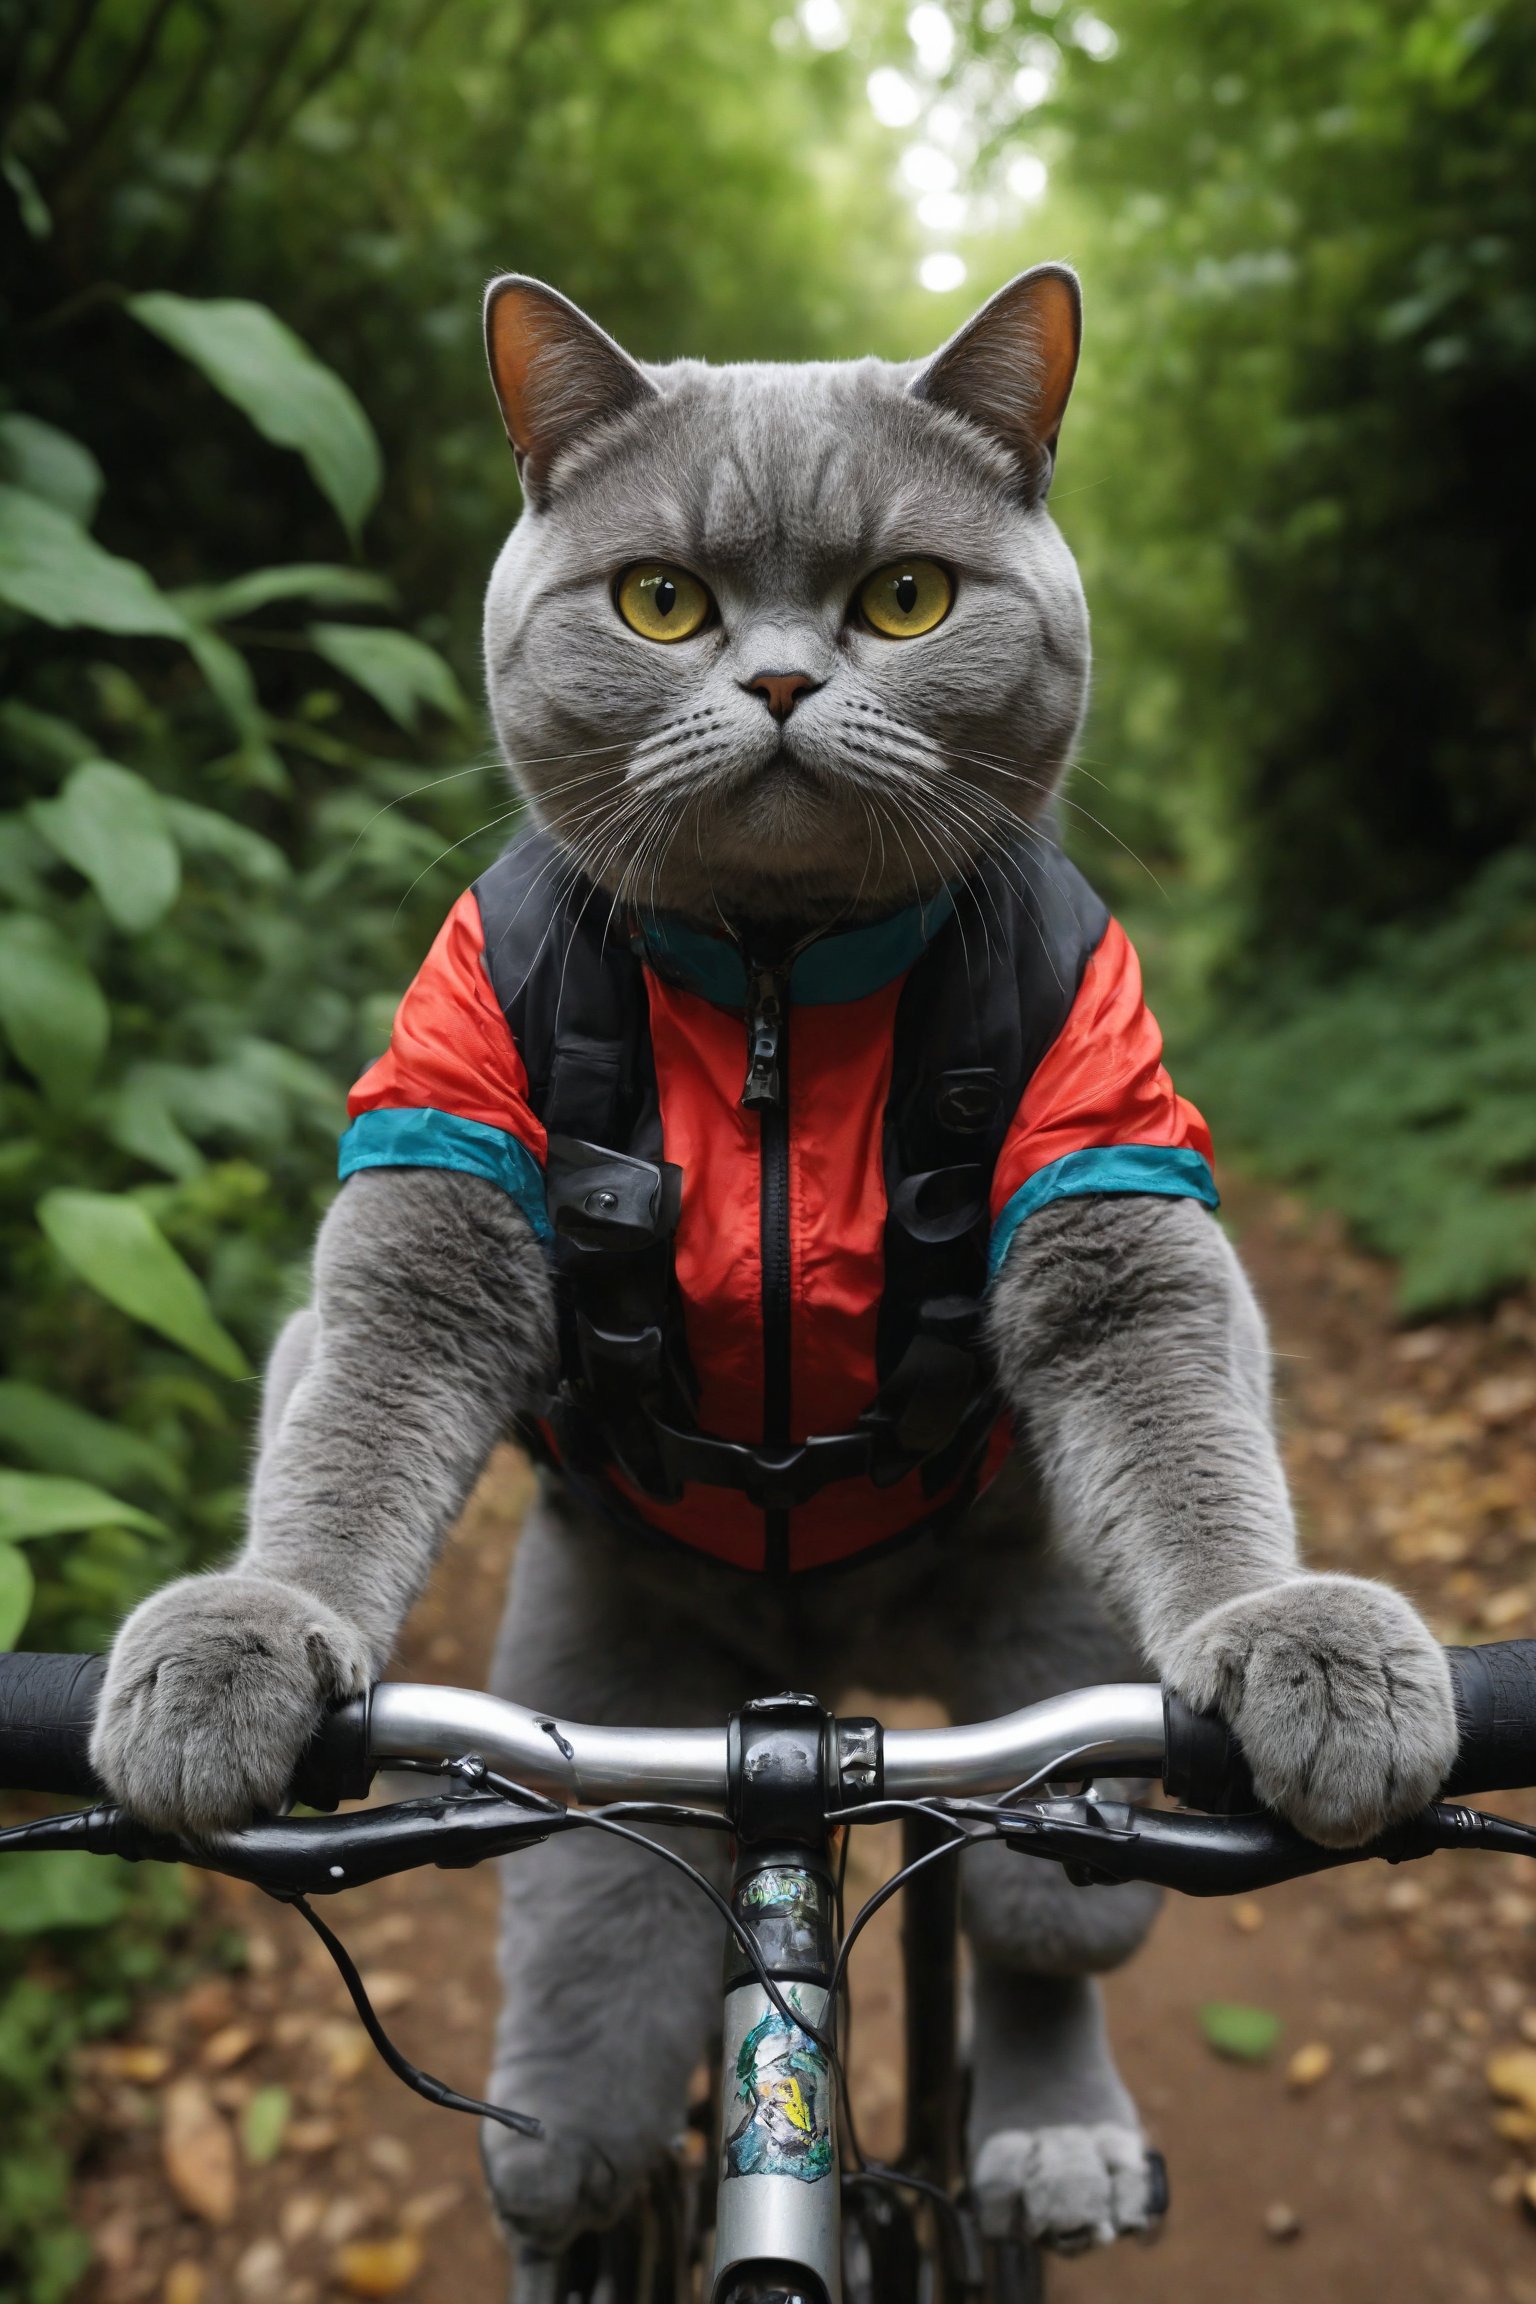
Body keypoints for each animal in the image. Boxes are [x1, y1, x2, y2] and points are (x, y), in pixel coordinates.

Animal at [90, 264, 1464, 2248]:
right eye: (661, 598)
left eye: (906, 597)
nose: (787, 677)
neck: (769, 979)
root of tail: (817, 1691)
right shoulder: (439, 1148)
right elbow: (354, 1392)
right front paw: (240, 1650)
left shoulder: (1107, 1154)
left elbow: (1172, 1385)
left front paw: (1299, 1645)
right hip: (601, 1690)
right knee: (592, 2007)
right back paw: (566, 2143)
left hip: (1050, 1681)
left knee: (1042, 1913)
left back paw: (1056, 2135)